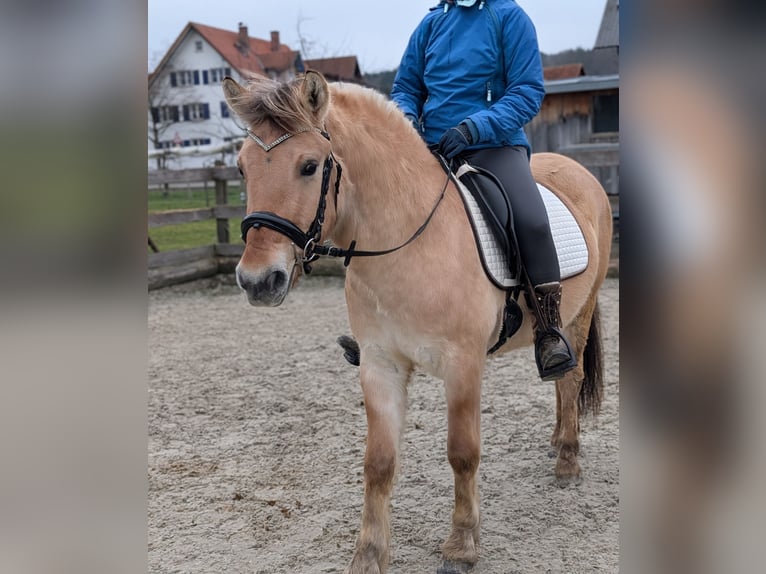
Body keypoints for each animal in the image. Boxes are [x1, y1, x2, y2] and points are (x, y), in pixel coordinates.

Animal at [223, 71, 612, 574]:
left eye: (309, 166)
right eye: (242, 168)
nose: (257, 281)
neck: (408, 241)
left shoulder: (463, 366)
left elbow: (463, 453)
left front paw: (461, 547)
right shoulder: (379, 364)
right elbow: (378, 462)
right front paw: (368, 555)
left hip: (578, 316)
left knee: (570, 379)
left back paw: (567, 460)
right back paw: (554, 442)